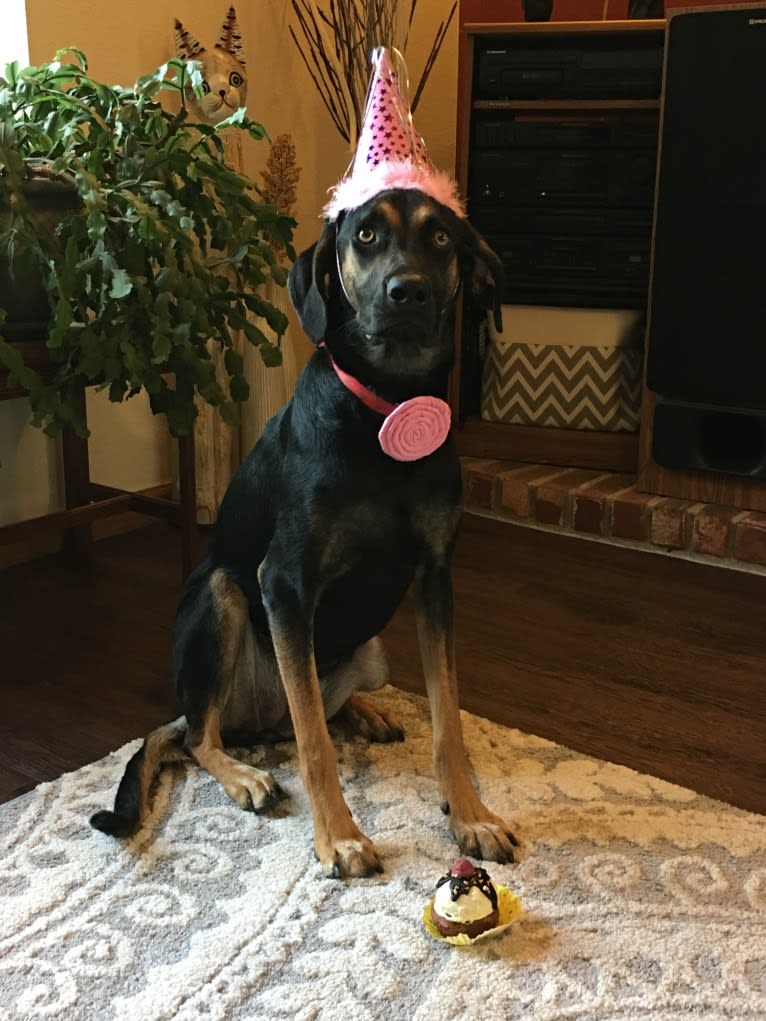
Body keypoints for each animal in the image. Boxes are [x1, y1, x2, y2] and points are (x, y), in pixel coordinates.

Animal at [91, 185, 522, 878]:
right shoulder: (285, 583)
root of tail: (257, 725)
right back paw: (244, 775)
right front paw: (340, 837)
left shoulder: (436, 578)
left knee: (316, 704)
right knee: (203, 734)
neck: (385, 405)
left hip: (374, 651)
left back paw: (368, 712)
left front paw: (471, 817)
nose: (407, 291)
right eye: (366, 235)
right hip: (222, 598)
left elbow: (448, 721)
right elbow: (314, 740)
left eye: (441, 238)